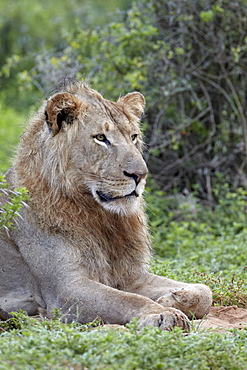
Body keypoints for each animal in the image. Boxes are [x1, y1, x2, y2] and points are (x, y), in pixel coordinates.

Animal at [0, 81, 212, 330]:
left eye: (133, 136)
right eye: (101, 137)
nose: (140, 174)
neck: (99, 216)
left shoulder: (130, 276)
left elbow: (204, 290)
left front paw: (171, 299)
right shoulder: (65, 288)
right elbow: (127, 300)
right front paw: (163, 313)